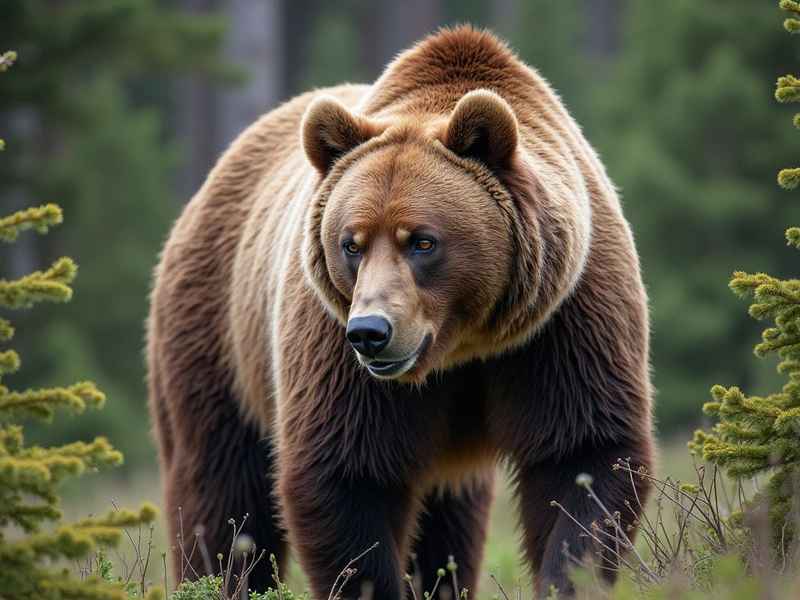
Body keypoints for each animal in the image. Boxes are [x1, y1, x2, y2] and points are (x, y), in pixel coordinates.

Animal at [147, 26, 654, 599]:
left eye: (423, 241)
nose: (371, 332)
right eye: (351, 243)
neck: (463, 346)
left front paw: (569, 574)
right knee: (223, 494)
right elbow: (347, 477)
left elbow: (583, 459)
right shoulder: (333, 348)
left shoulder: (564, 322)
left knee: (451, 524)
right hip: (218, 339)